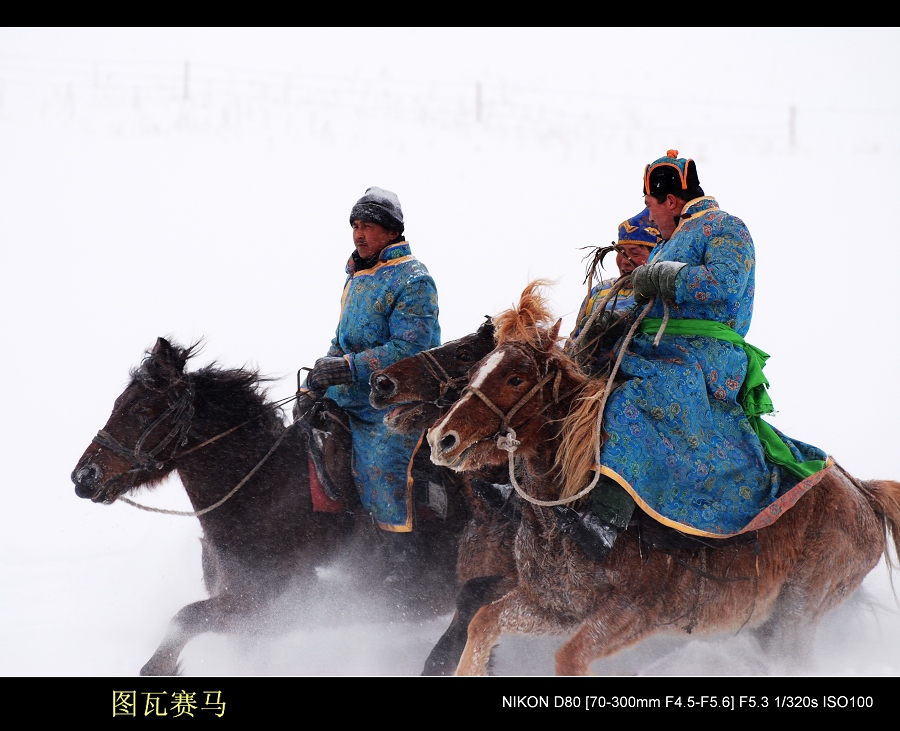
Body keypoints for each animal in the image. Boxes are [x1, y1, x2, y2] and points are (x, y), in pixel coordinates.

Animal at [71, 340, 464, 676]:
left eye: (141, 410)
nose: (84, 476)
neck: (263, 494)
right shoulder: (250, 623)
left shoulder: (261, 606)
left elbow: (184, 619)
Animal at [428, 284, 900, 676]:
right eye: (475, 370)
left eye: (515, 377)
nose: (442, 438)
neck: (571, 515)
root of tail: (865, 495)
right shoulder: (556, 605)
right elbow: (483, 623)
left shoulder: (634, 612)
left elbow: (569, 658)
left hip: (797, 614)